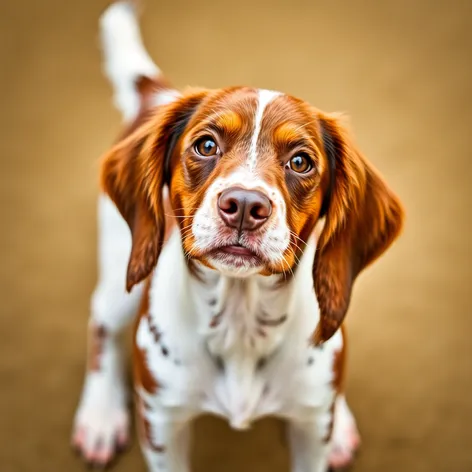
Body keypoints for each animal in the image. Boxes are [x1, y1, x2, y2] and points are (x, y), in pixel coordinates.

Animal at [72, 1, 404, 470]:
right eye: (206, 145)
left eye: (301, 161)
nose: (245, 205)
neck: (240, 323)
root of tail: (159, 96)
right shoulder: (161, 423)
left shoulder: (310, 430)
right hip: (124, 263)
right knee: (102, 318)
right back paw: (100, 417)